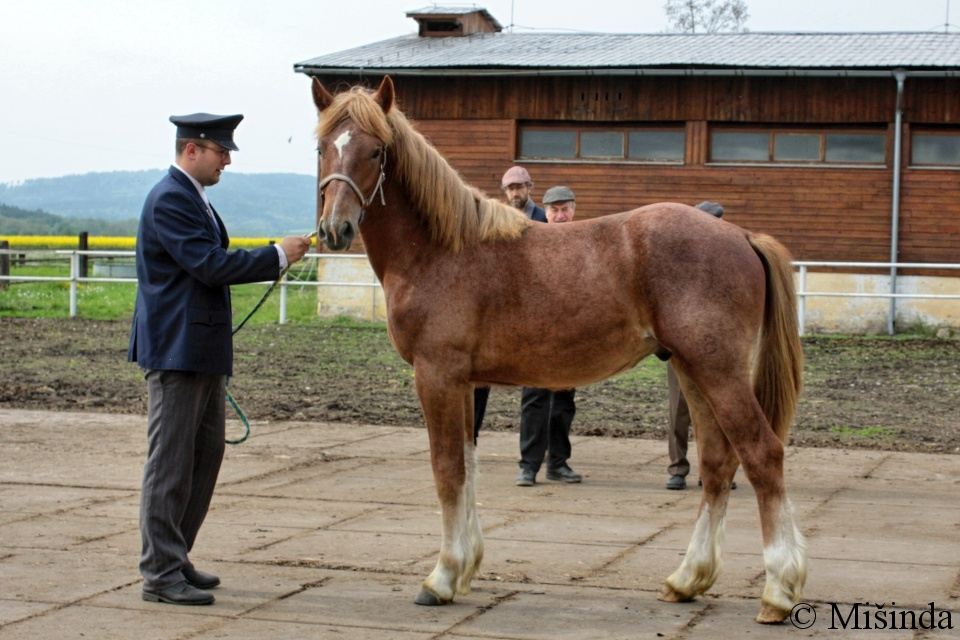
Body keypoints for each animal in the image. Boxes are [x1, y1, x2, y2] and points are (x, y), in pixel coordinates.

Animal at [312, 76, 808, 624]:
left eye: (376, 150)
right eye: (322, 147)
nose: (335, 229)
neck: (441, 251)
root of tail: (741, 234)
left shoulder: (436, 376)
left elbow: (447, 469)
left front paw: (441, 578)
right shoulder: (464, 384)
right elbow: (468, 466)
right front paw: (465, 568)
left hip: (718, 372)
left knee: (762, 454)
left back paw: (778, 591)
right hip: (692, 371)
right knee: (718, 465)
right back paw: (687, 579)